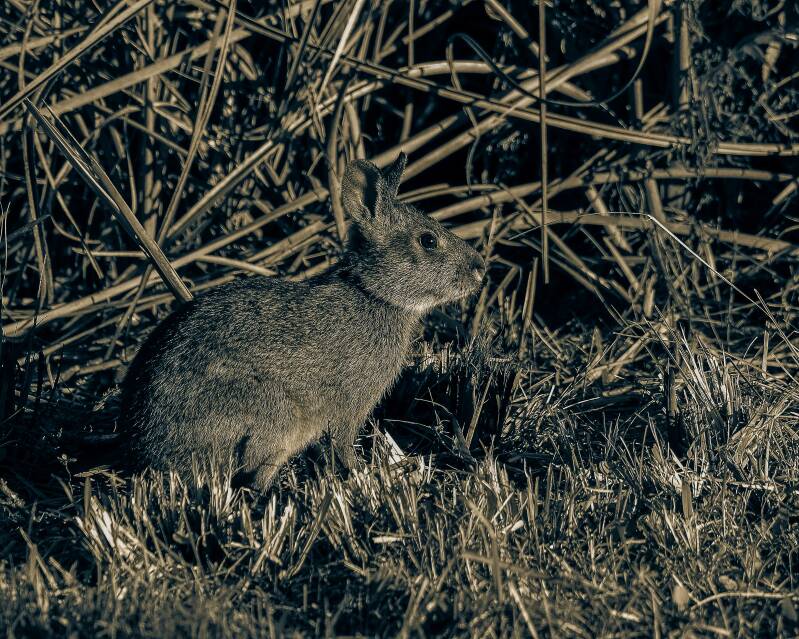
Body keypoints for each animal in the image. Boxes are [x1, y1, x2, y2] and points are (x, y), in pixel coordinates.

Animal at [119, 152, 485, 489]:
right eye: (428, 240)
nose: (480, 268)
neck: (372, 293)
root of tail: (148, 453)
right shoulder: (350, 405)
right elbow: (343, 444)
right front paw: (363, 474)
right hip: (276, 415)